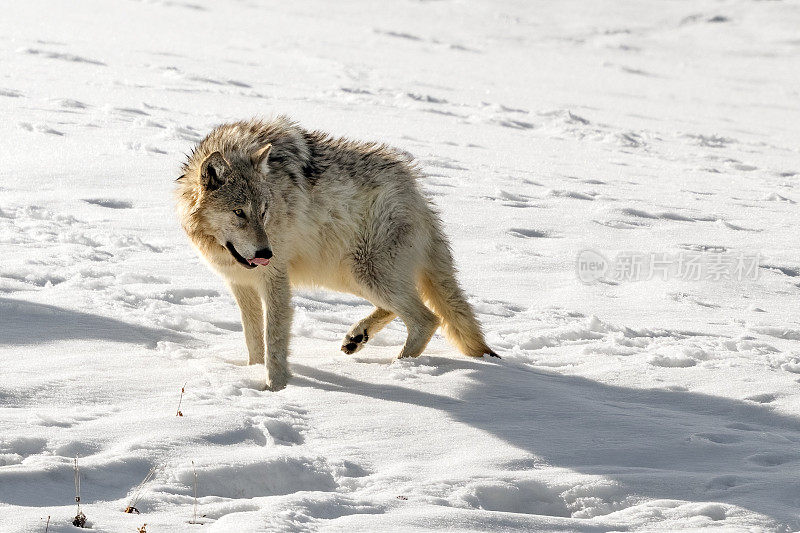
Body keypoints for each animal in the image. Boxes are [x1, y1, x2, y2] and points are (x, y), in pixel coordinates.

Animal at [177, 117, 496, 390]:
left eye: (263, 212)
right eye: (239, 212)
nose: (266, 252)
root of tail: (417, 192)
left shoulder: (274, 278)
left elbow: (274, 338)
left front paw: (275, 388)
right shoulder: (240, 283)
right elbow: (254, 339)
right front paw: (253, 372)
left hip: (364, 273)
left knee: (428, 319)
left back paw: (398, 369)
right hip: (345, 275)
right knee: (406, 308)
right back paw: (358, 337)